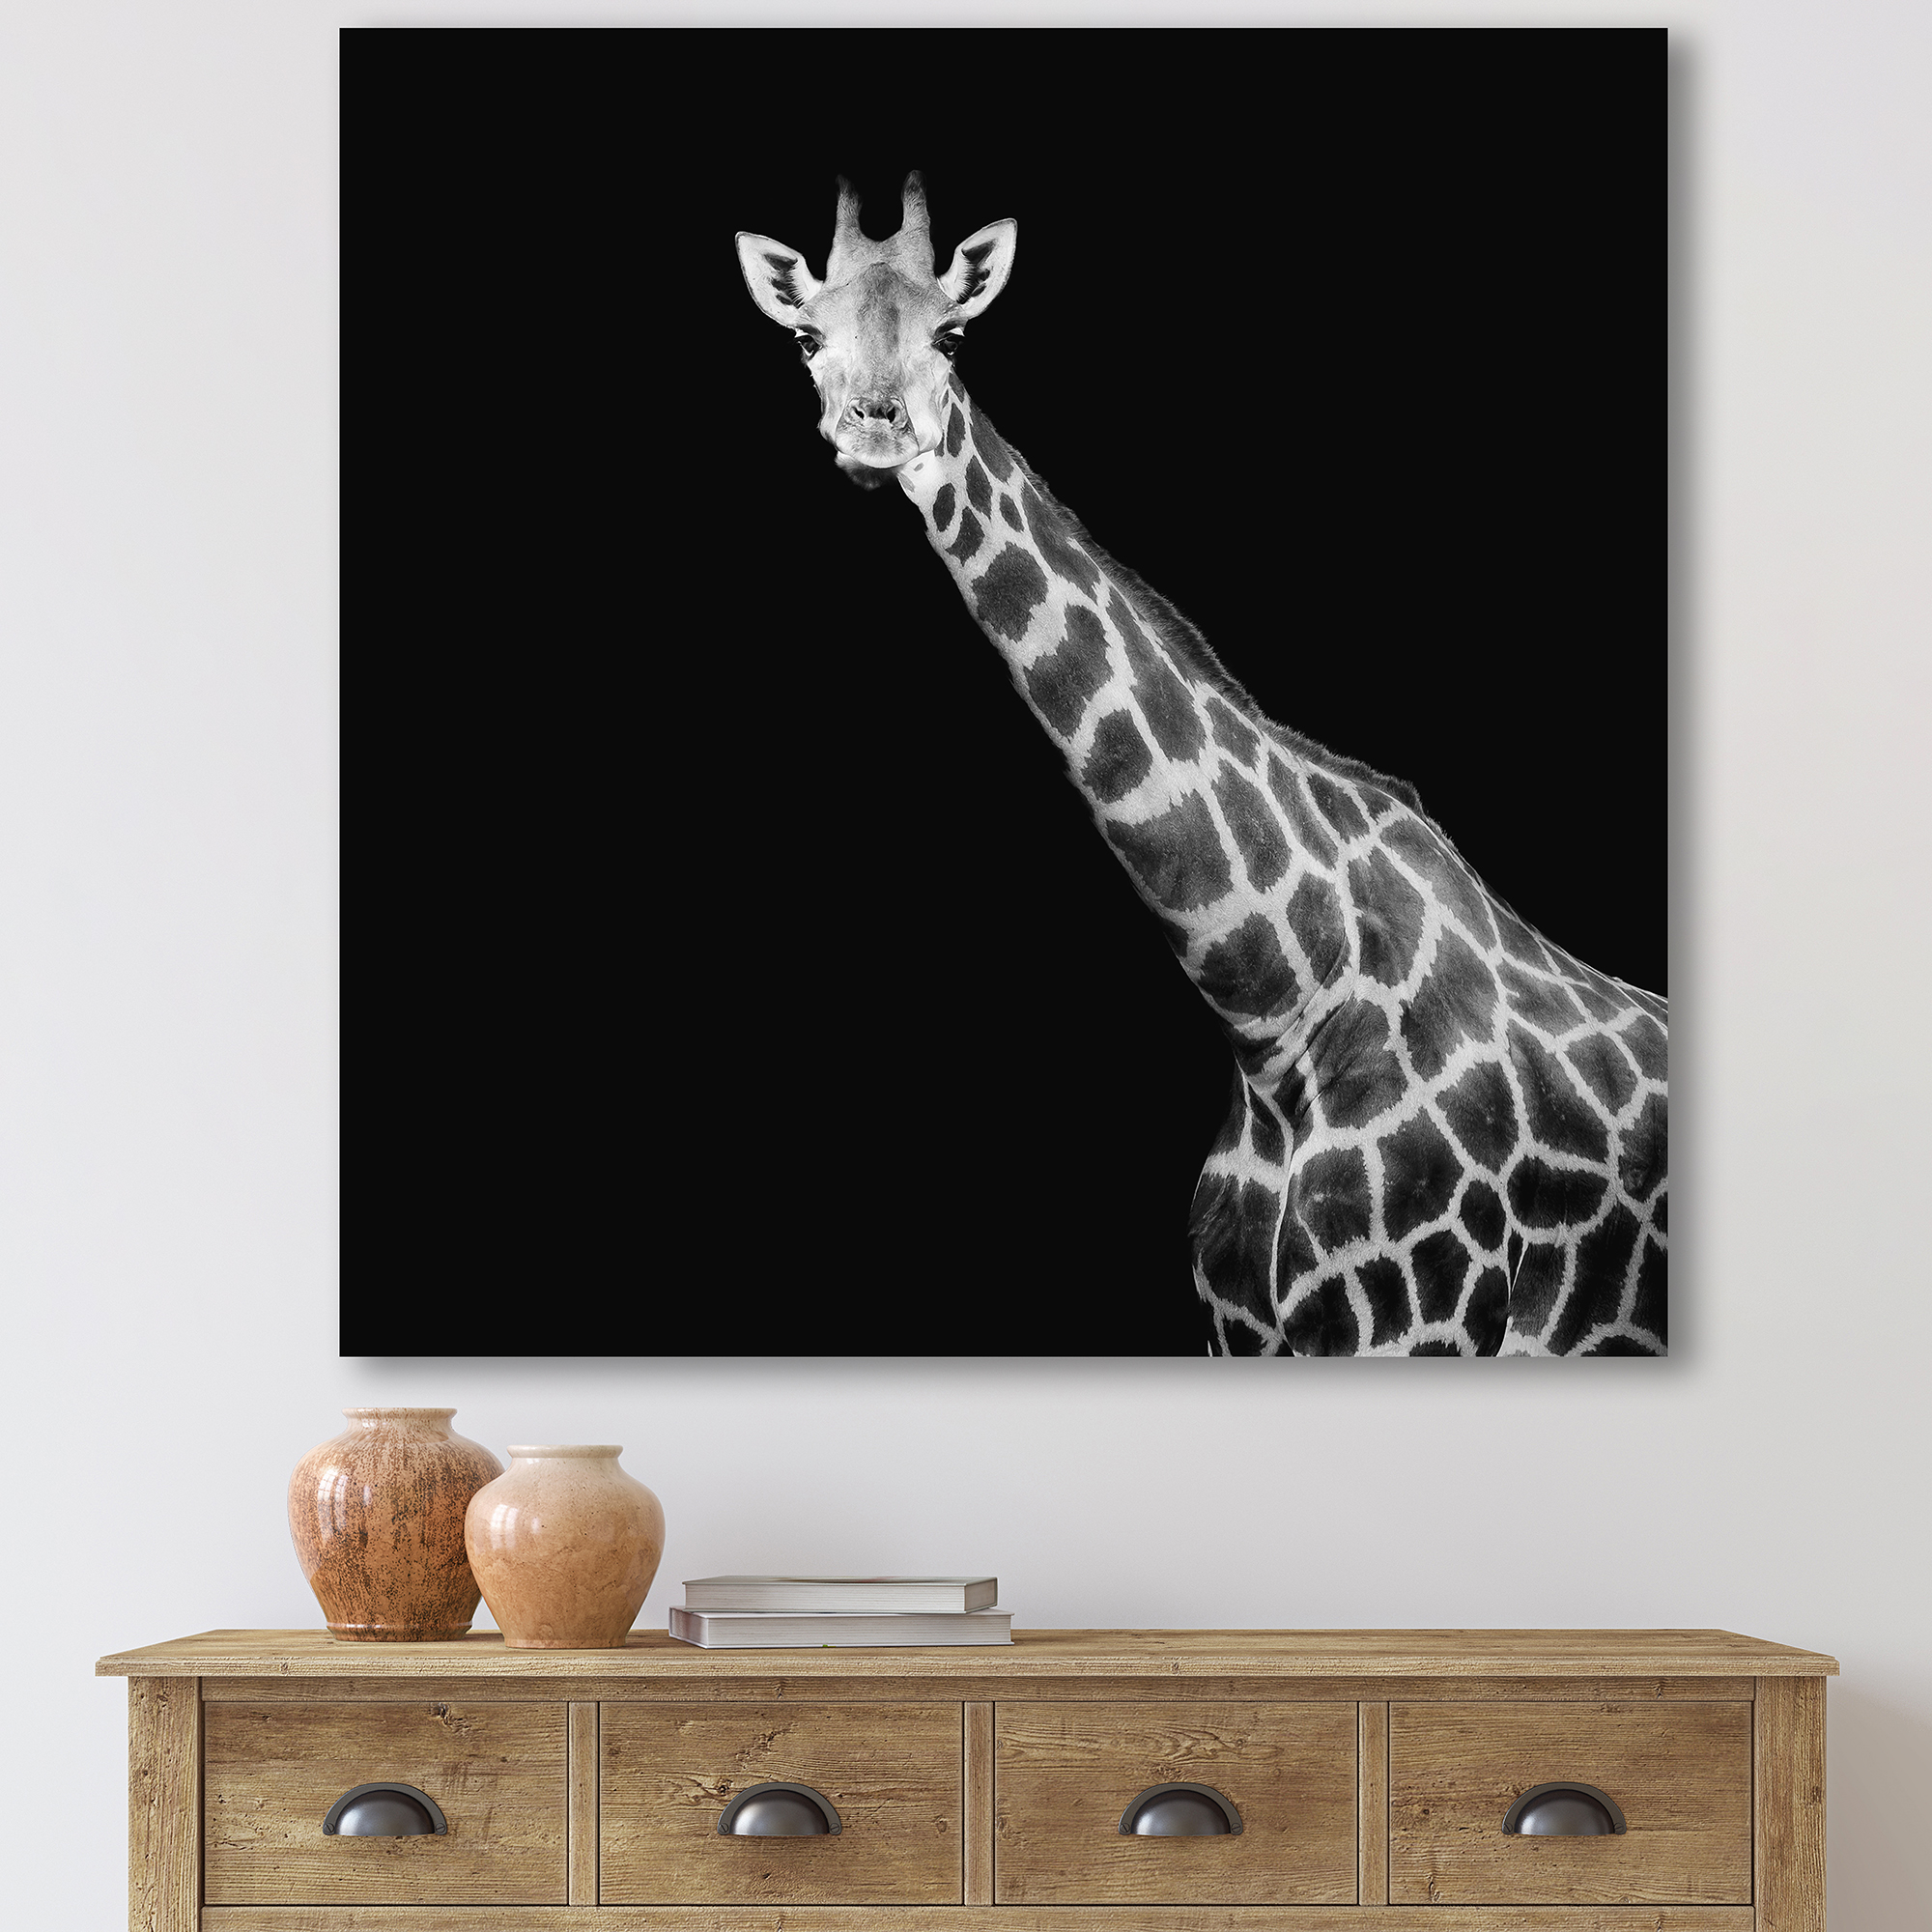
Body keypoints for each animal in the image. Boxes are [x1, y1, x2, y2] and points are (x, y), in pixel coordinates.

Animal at [735, 174, 1667, 1357]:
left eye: (952, 334)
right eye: (807, 336)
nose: (874, 428)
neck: (1275, 1012)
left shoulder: (1423, 1323)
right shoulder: (1237, 1331)